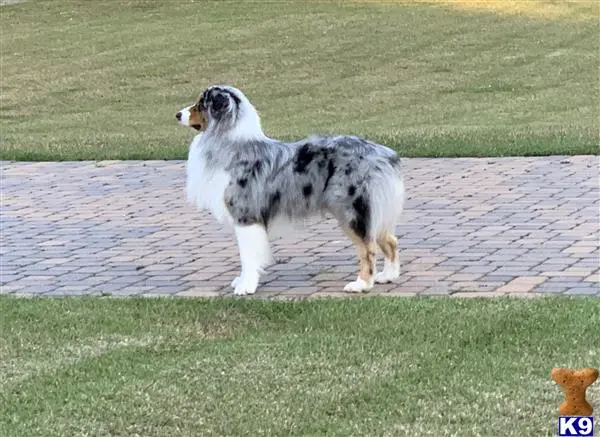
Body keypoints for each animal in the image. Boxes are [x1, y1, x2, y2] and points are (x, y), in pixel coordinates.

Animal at [176, 85, 406, 294]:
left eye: (200, 103)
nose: (177, 114)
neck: (231, 142)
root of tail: (382, 153)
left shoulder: (246, 215)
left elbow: (248, 256)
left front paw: (246, 286)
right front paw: (242, 281)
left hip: (351, 211)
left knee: (368, 248)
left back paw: (362, 284)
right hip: (372, 209)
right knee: (390, 240)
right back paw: (388, 275)